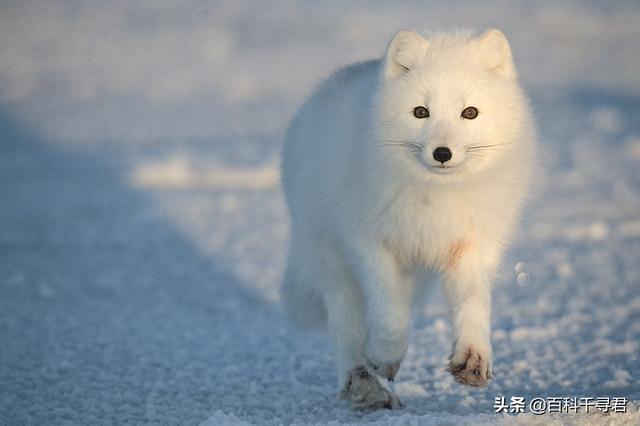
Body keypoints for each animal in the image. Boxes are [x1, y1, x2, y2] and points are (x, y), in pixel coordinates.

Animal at [280, 29, 536, 410]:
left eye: (470, 112)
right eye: (420, 112)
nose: (442, 153)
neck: (435, 197)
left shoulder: (471, 246)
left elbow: (473, 303)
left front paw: (473, 357)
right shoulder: (369, 244)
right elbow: (389, 313)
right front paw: (384, 356)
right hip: (331, 259)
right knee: (346, 326)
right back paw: (362, 384)